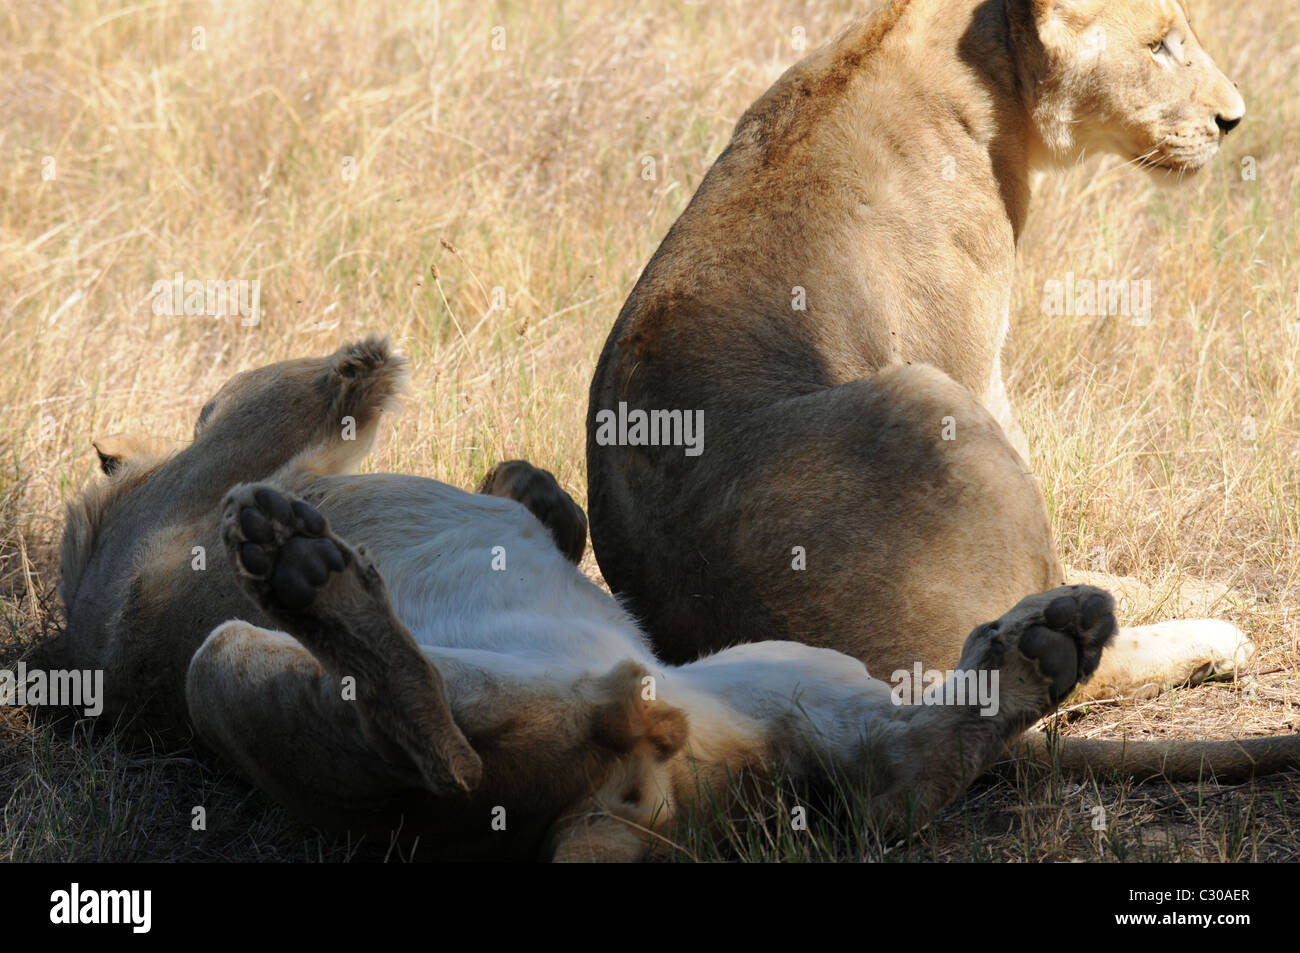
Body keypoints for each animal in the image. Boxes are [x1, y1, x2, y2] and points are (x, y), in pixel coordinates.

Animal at [45, 338, 1138, 858]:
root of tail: (627, 809)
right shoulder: (206, 463)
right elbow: (286, 394)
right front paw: (360, 364)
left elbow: (527, 498)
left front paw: (534, 489)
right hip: (232, 665)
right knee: (444, 761)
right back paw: (307, 574)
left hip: (779, 675)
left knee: (893, 778)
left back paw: (1040, 648)